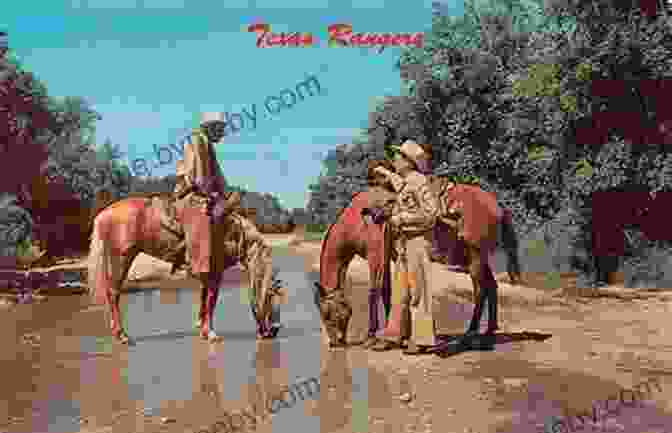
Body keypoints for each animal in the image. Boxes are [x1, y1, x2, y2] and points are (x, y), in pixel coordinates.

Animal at [86, 194, 284, 342]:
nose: (274, 331)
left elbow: (204, 301)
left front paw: (203, 331)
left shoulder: (208, 274)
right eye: (273, 297)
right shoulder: (215, 274)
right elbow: (211, 302)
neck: (232, 233)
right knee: (113, 293)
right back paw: (122, 335)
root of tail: (104, 214)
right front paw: (211, 334)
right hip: (121, 258)